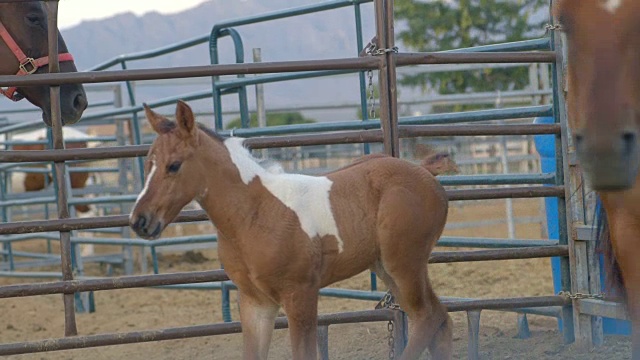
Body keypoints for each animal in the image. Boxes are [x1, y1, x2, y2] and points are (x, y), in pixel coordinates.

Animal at [129, 101, 450, 360]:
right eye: (148, 163)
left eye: (174, 165)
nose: (139, 220)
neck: (255, 213)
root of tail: (423, 171)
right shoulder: (255, 302)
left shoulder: (300, 295)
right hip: (387, 267)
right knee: (440, 319)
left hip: (404, 264)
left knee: (427, 317)